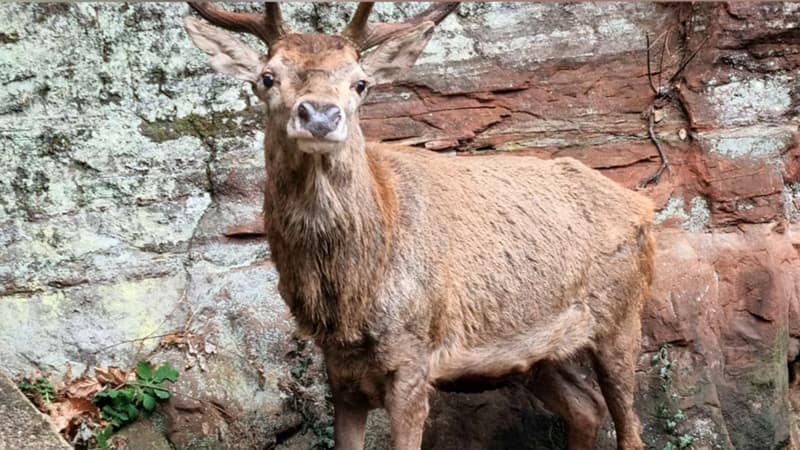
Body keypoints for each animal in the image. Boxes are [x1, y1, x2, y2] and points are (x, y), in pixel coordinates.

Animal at [182, 2, 655, 449]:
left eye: (361, 83)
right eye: (267, 77)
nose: (319, 115)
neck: (353, 292)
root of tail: (643, 205)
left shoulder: (413, 356)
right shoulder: (340, 370)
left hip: (622, 315)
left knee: (629, 427)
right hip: (538, 355)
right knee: (586, 408)